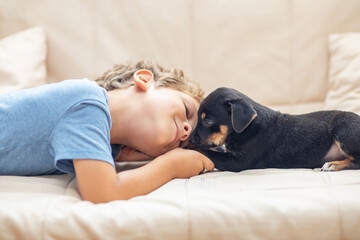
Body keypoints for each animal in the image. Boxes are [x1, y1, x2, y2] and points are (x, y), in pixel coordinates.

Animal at [188, 87, 360, 172]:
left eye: (208, 121)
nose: (189, 139)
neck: (247, 128)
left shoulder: (238, 162)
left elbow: (207, 152)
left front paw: (189, 148)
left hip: (343, 125)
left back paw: (333, 164)